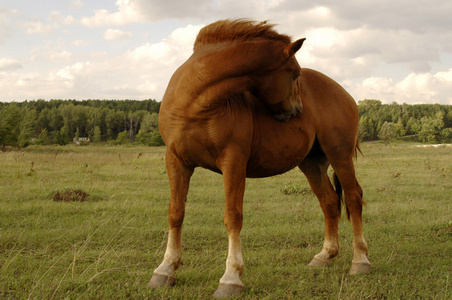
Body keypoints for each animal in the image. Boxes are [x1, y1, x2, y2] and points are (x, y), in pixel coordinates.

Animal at [150, 19, 370, 298]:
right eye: (294, 74)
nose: (297, 110)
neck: (194, 104)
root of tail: (344, 93)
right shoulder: (177, 162)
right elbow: (175, 212)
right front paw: (165, 270)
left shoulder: (233, 162)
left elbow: (233, 216)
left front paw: (231, 278)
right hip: (312, 163)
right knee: (330, 202)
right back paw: (324, 256)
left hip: (339, 154)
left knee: (353, 198)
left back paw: (360, 261)